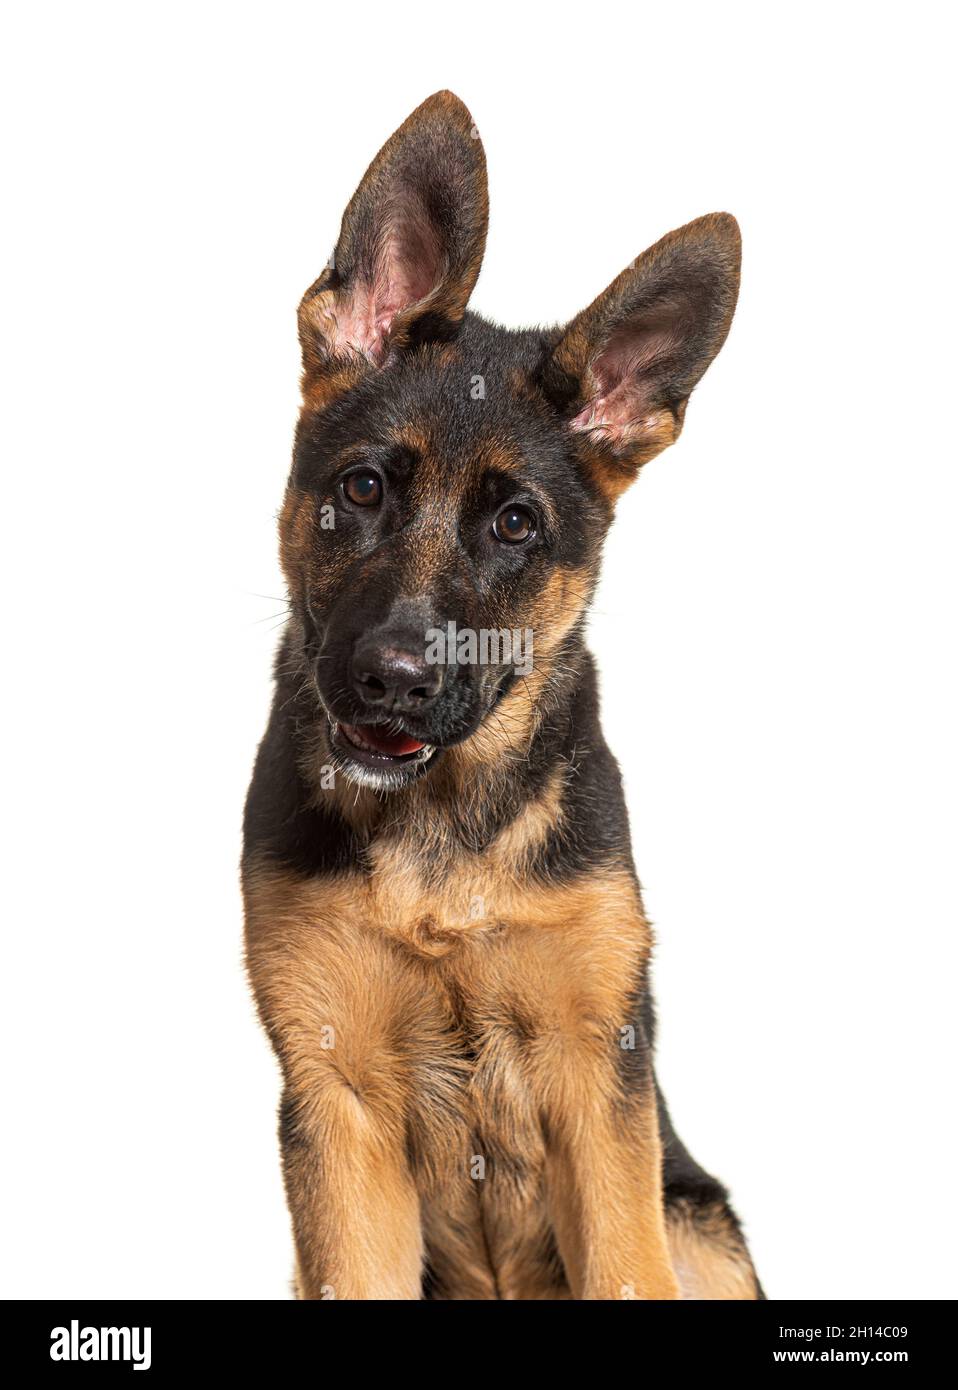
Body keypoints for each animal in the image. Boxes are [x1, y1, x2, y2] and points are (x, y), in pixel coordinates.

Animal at [244, 92, 761, 1295]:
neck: (442, 830)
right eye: (363, 488)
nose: (391, 678)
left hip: (700, 1226)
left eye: (516, 525)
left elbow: (624, 1263)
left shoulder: (596, 1079)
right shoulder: (334, 1100)